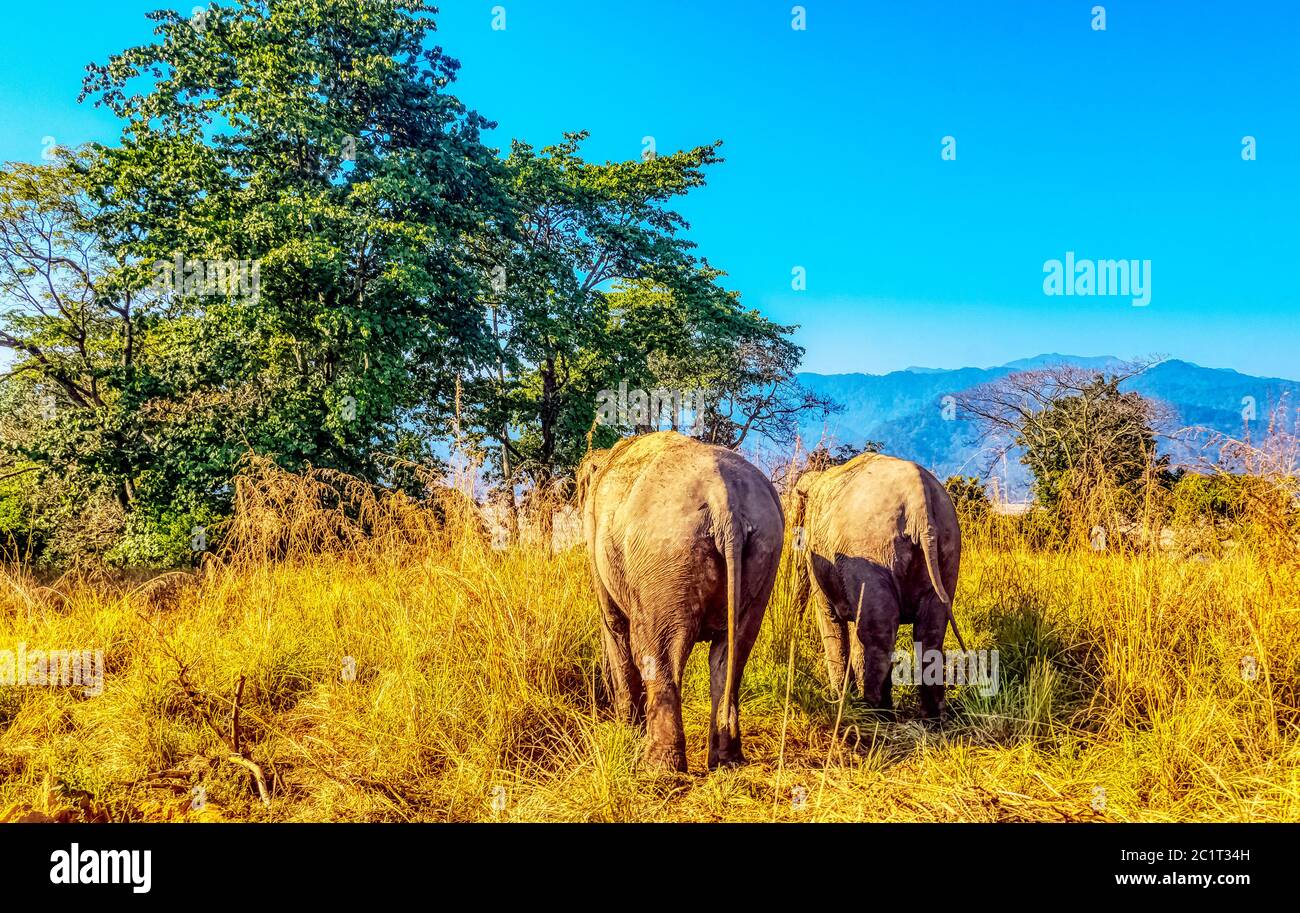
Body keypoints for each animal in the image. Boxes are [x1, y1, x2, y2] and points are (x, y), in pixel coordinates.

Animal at [579, 431, 780, 775]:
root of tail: (723, 498)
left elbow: (614, 626)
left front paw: (627, 733)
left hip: (664, 555)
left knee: (660, 652)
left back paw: (658, 768)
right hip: (764, 553)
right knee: (733, 653)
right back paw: (726, 760)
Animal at [780, 455, 967, 717]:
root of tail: (919, 502)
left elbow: (830, 617)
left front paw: (840, 698)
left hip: (872, 550)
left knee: (877, 633)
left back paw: (875, 711)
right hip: (947, 548)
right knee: (930, 631)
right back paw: (930, 716)